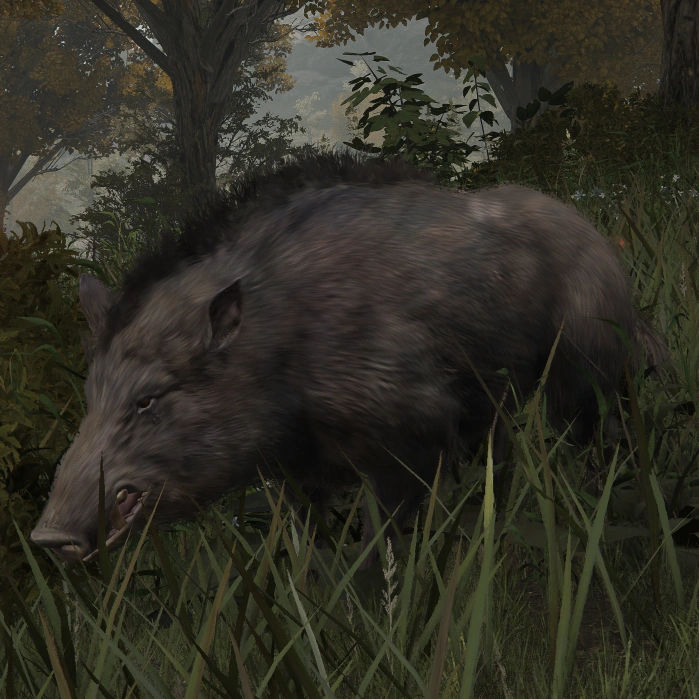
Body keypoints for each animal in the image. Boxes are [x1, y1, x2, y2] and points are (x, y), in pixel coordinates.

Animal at [30, 152, 664, 562]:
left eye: (148, 399)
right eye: (90, 394)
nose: (48, 537)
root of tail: (604, 245)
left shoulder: (413, 435)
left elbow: (383, 545)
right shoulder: (298, 472)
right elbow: (307, 546)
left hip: (588, 374)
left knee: (604, 436)